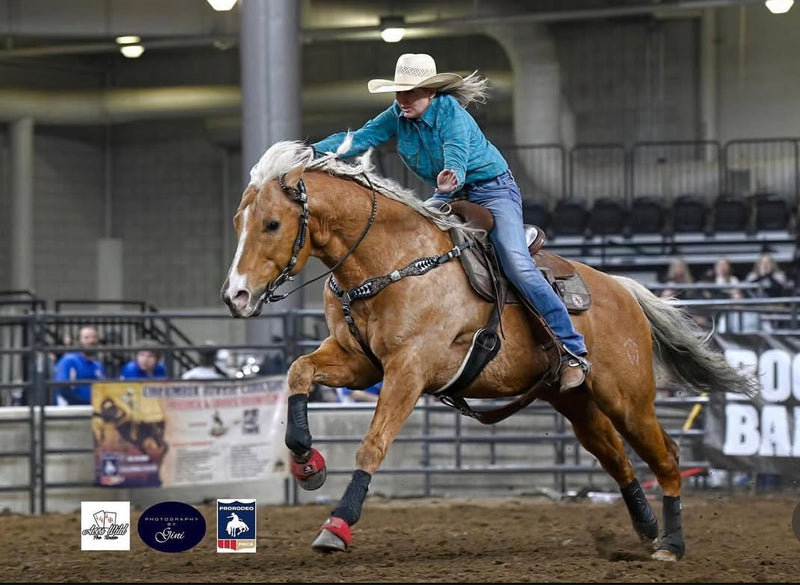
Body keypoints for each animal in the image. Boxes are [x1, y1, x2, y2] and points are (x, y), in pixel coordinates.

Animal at [221, 139, 758, 561]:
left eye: (272, 224)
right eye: (237, 222)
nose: (235, 296)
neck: (396, 262)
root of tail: (624, 289)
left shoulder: (408, 370)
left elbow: (373, 443)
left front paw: (337, 525)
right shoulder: (359, 363)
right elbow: (298, 371)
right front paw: (307, 464)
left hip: (628, 397)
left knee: (665, 455)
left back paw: (672, 543)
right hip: (576, 401)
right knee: (617, 458)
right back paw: (647, 529)